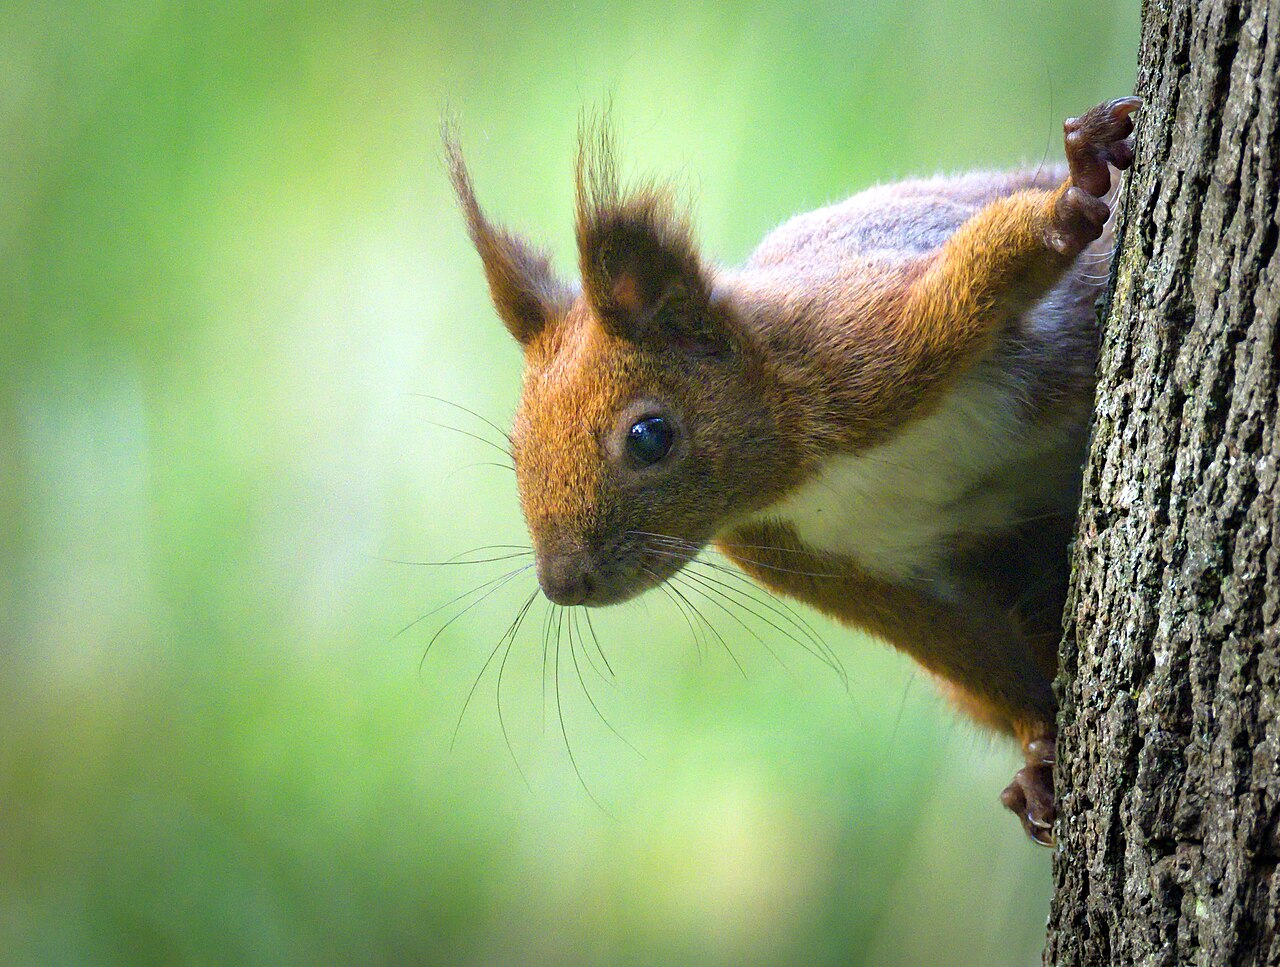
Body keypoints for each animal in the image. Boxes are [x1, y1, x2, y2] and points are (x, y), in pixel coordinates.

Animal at [445, 96, 1141, 845]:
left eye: (650, 436)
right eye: (516, 447)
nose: (563, 583)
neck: (804, 476)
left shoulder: (863, 341)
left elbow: (982, 270)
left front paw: (1073, 194)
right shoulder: (833, 568)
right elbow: (966, 647)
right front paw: (1040, 746)